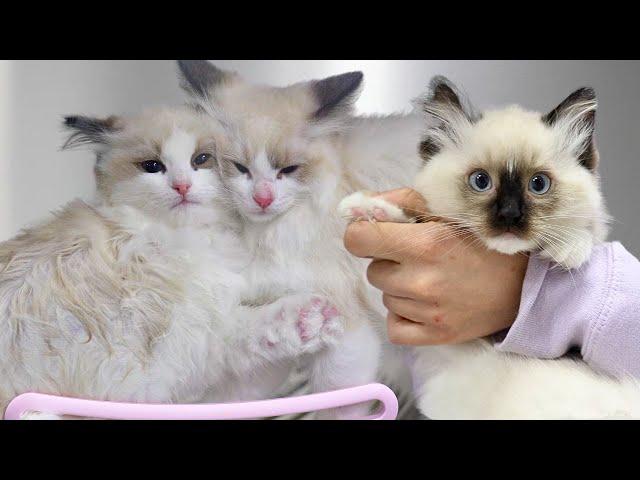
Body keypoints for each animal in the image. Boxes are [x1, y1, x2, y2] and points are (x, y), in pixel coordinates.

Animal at [0, 107, 340, 418]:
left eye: (201, 160)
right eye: (153, 166)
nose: (182, 186)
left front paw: (313, 322)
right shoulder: (183, 347)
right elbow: (247, 332)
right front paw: (312, 318)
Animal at [176, 62, 424, 418]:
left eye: (289, 170)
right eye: (239, 167)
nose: (263, 199)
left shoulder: (348, 335)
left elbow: (336, 406)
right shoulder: (282, 321)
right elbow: (235, 393)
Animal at [342, 77, 640, 418]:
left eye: (538, 185)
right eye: (481, 181)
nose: (509, 215)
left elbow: (588, 233)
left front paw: (570, 249)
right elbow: (411, 216)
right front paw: (366, 208)